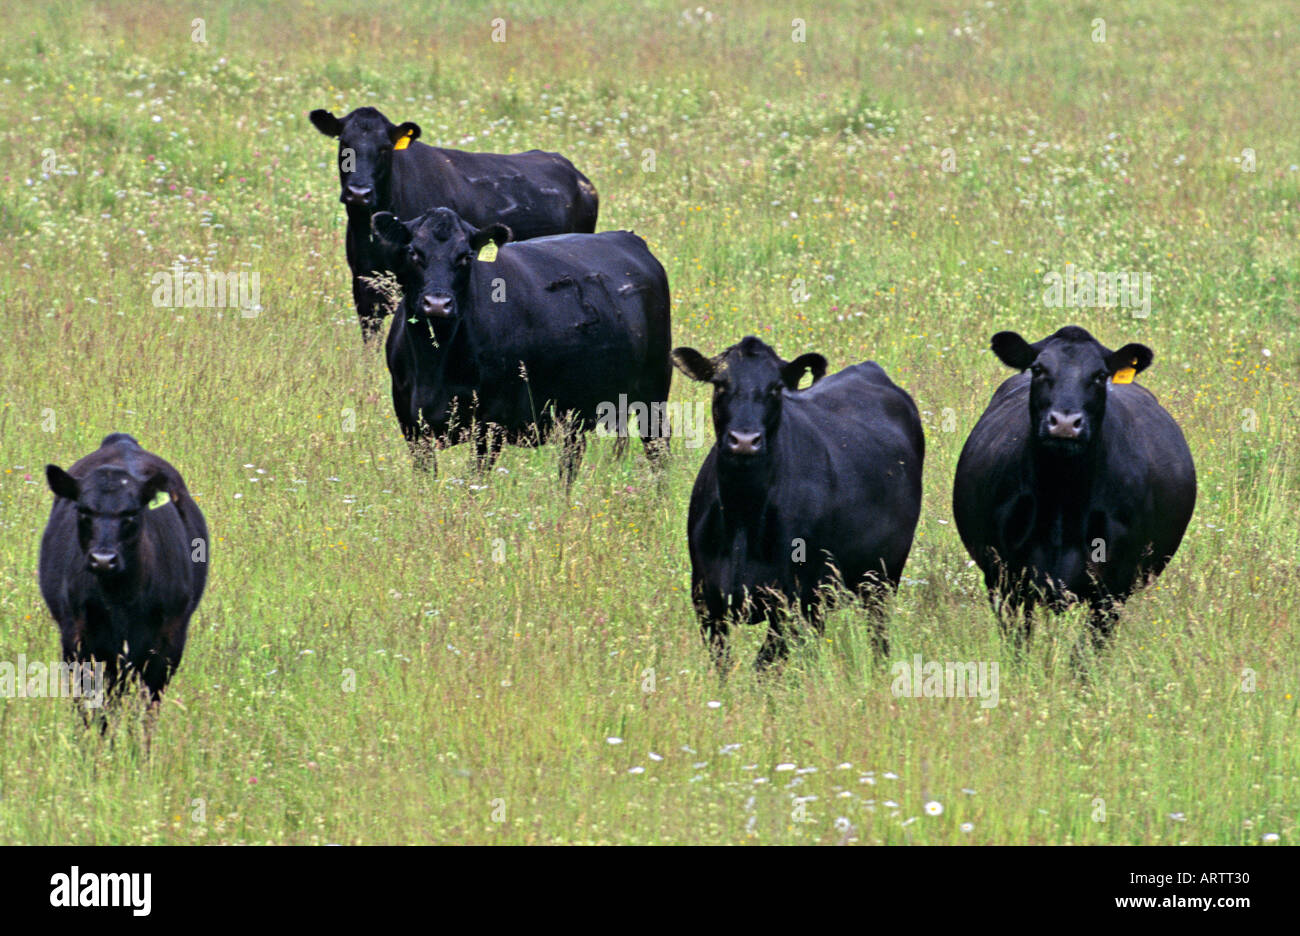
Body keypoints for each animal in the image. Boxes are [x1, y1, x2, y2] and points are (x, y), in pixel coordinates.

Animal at [39, 434, 208, 712]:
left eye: (131, 513)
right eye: (83, 511)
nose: (103, 560)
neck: (120, 598)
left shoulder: (169, 642)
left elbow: (149, 704)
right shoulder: (78, 639)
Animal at [670, 340, 925, 670]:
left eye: (776, 388)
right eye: (720, 384)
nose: (744, 440)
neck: (743, 515)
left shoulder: (795, 602)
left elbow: (763, 667)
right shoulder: (706, 598)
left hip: (881, 579)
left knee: (877, 635)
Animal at [956, 323, 1196, 650]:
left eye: (1100, 375)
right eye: (1038, 368)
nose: (1065, 423)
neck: (1063, 497)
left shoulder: (1112, 588)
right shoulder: (1004, 580)